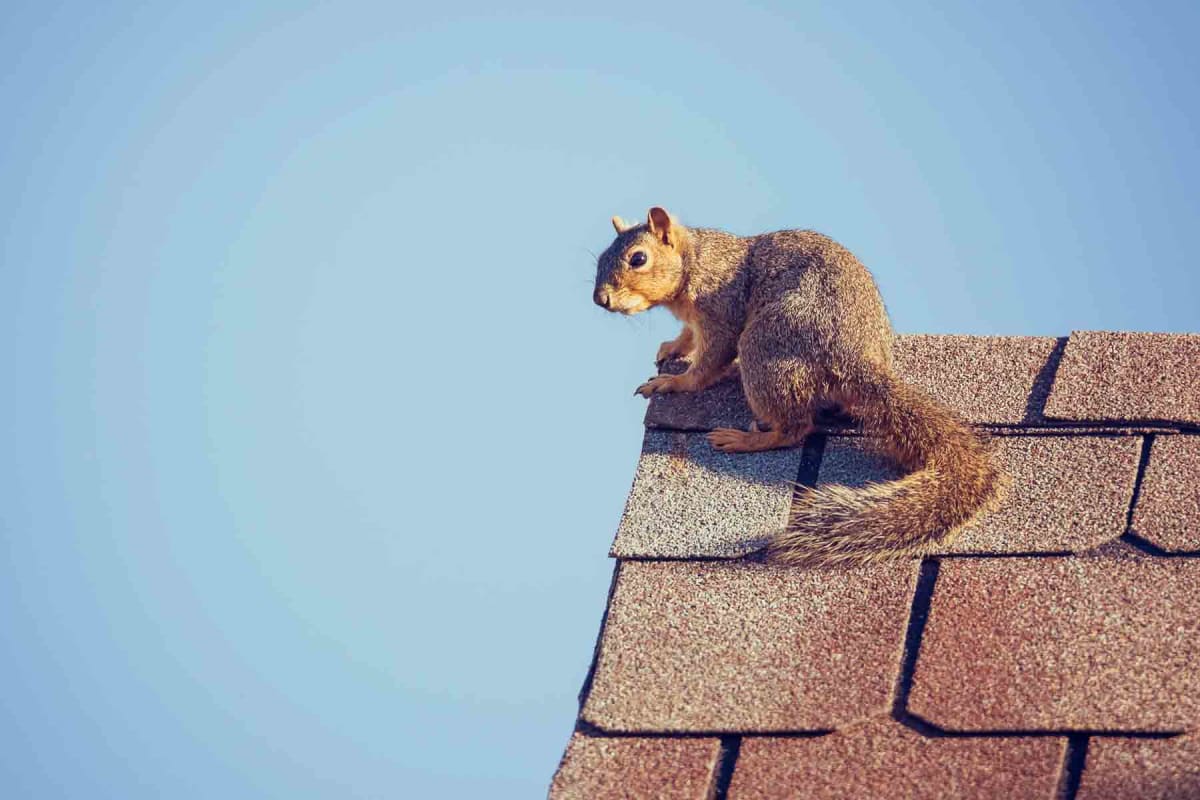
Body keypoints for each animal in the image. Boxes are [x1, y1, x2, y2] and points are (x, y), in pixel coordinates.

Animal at [592, 208, 1003, 568]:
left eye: (638, 258)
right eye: (600, 257)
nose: (601, 299)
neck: (696, 260)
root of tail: (855, 359)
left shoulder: (721, 310)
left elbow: (710, 361)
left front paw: (674, 382)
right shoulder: (695, 321)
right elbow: (688, 338)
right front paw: (671, 349)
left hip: (763, 348)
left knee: (795, 428)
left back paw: (747, 439)